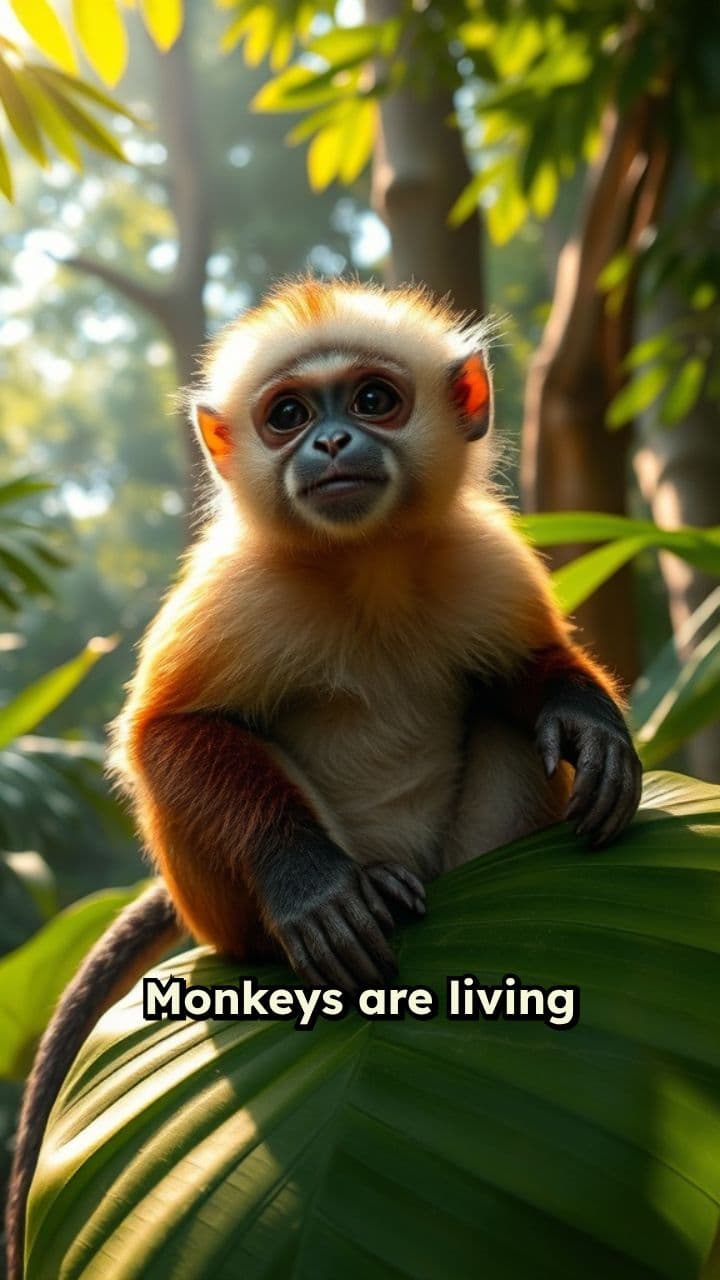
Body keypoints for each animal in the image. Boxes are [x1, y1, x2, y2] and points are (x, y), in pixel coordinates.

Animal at [6, 278, 641, 1279]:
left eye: (374, 400)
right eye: (288, 416)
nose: (332, 443)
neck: (366, 566)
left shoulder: (487, 560)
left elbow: (522, 672)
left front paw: (587, 719)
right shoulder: (234, 591)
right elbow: (168, 733)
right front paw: (313, 888)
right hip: (215, 912)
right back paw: (347, 893)